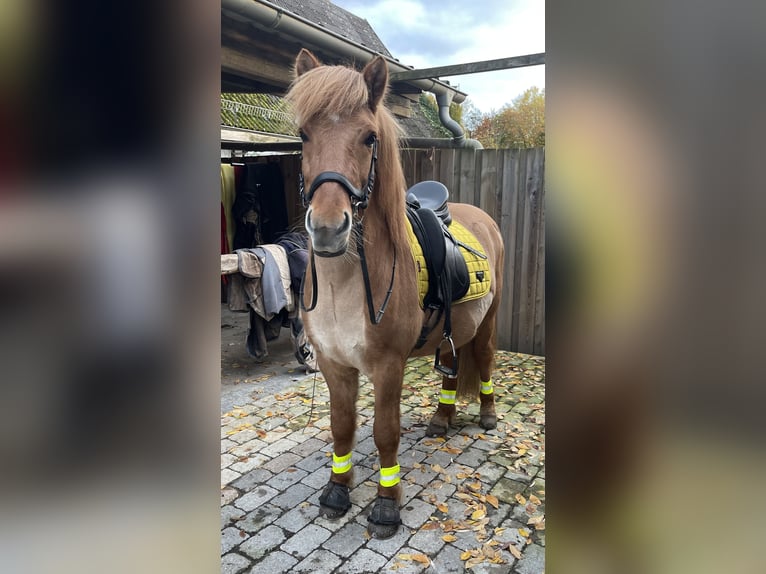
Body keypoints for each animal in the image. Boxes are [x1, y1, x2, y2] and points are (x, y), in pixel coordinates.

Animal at [286, 49, 504, 539]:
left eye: (369, 138)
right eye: (303, 134)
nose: (327, 228)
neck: (343, 286)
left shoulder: (388, 367)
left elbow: (385, 431)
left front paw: (386, 504)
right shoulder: (334, 365)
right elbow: (342, 427)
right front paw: (337, 491)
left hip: (488, 322)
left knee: (483, 359)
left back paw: (486, 413)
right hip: (453, 330)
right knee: (452, 365)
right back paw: (441, 419)